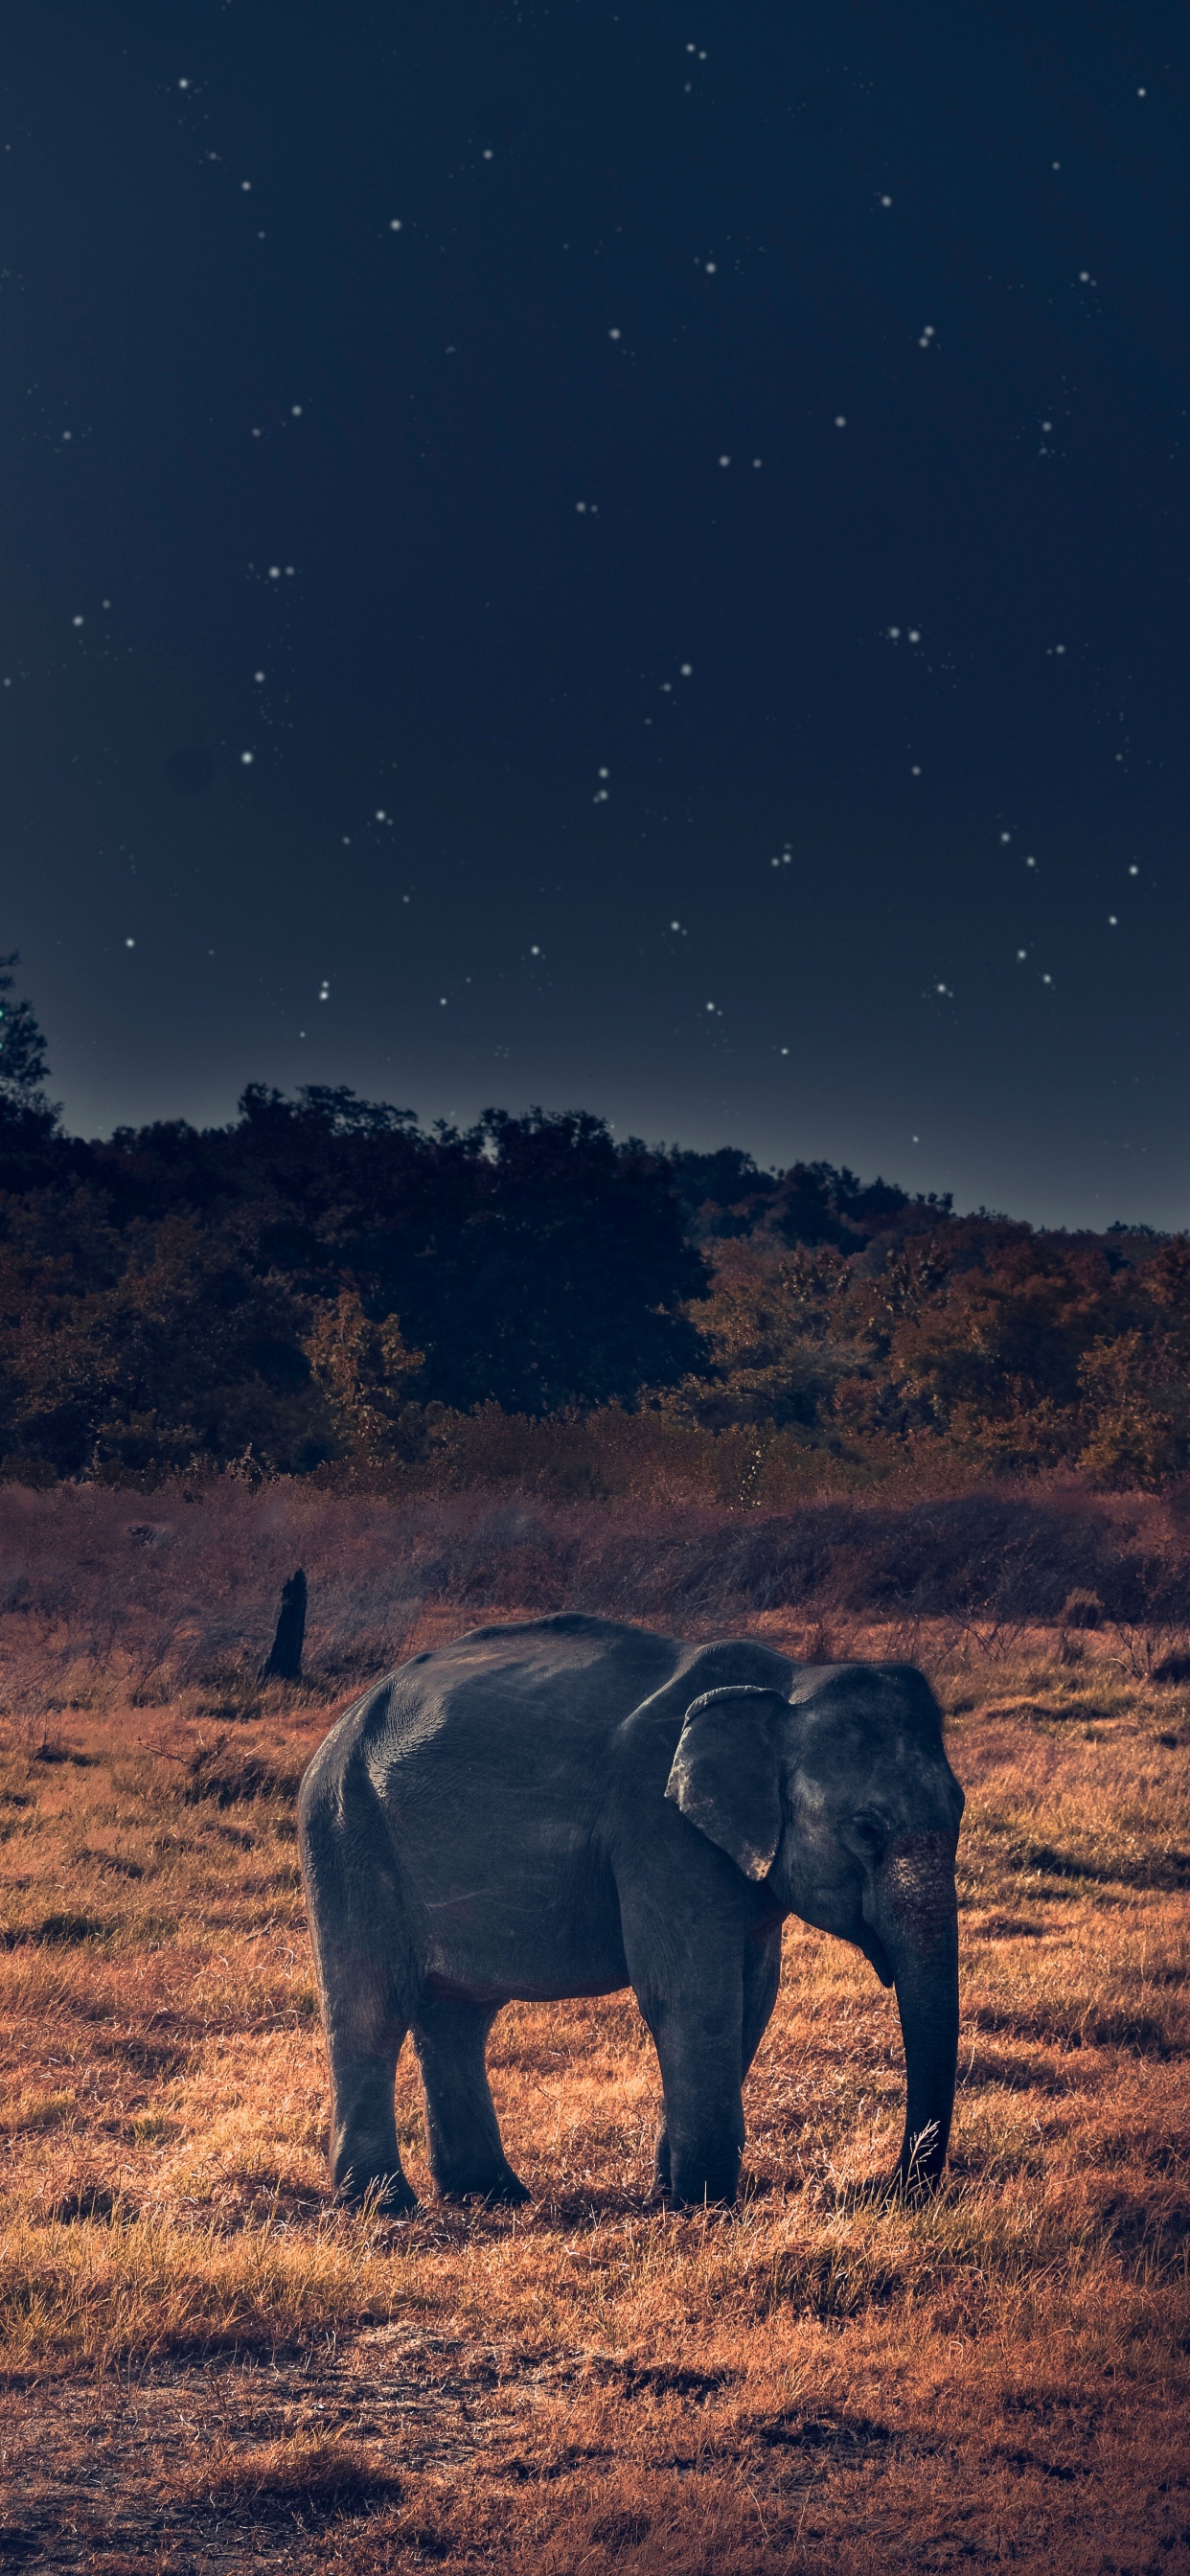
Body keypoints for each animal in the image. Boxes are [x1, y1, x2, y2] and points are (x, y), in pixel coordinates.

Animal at [298, 1613, 963, 2211]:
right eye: (866, 1829)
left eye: (959, 1811)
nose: (884, 2189)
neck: (787, 1684)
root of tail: (341, 1728)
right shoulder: (659, 1830)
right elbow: (691, 1993)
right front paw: (703, 2205)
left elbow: (753, 1995)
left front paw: (673, 2192)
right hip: (345, 1832)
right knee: (372, 2007)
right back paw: (385, 2205)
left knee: (457, 2015)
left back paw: (490, 2195)